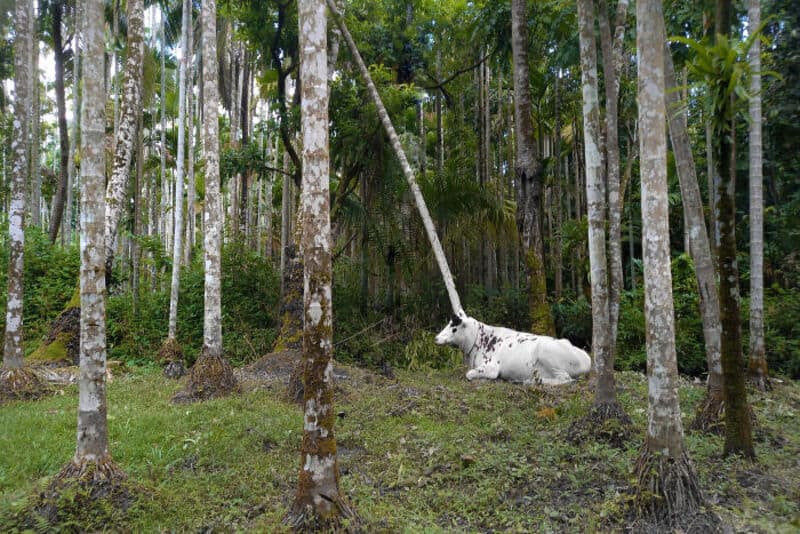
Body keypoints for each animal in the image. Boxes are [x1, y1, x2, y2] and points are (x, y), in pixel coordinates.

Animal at [434, 310, 591, 385]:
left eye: (453, 327)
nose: (436, 338)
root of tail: (587, 358)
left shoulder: (491, 367)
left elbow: (469, 374)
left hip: (547, 353)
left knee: (566, 379)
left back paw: (530, 381)